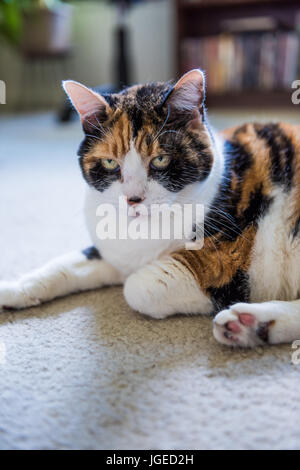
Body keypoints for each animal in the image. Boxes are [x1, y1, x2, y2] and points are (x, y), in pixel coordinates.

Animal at [0, 70, 300, 348]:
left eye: (160, 159)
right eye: (110, 162)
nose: (133, 199)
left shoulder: (222, 259)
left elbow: (136, 287)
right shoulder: (113, 253)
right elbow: (63, 266)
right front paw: (13, 289)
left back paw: (247, 324)